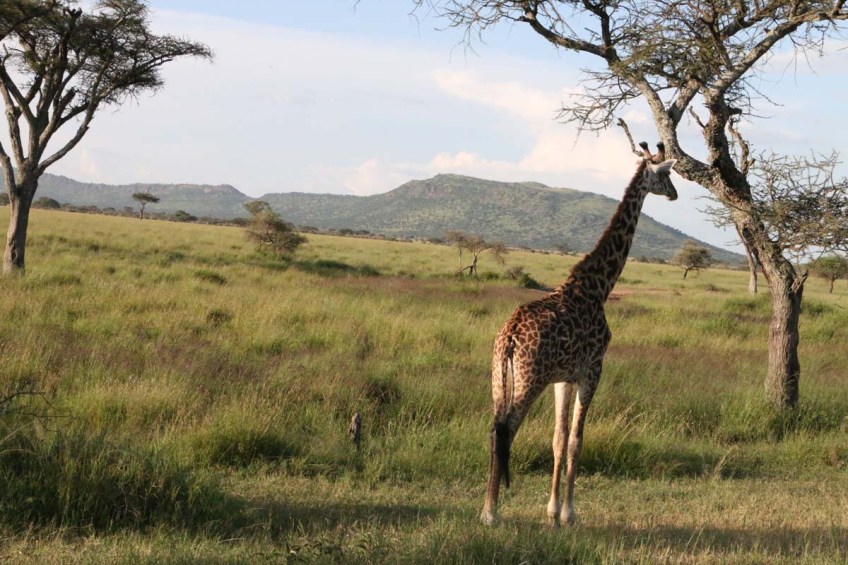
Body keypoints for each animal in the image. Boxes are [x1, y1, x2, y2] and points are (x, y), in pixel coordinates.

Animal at [480, 142, 678, 526]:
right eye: (666, 175)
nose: (675, 195)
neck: (598, 286)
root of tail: (510, 336)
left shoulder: (564, 378)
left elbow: (558, 440)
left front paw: (552, 510)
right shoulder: (592, 370)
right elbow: (576, 441)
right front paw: (570, 514)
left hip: (500, 376)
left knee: (494, 428)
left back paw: (487, 506)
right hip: (530, 379)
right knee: (506, 430)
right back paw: (491, 512)